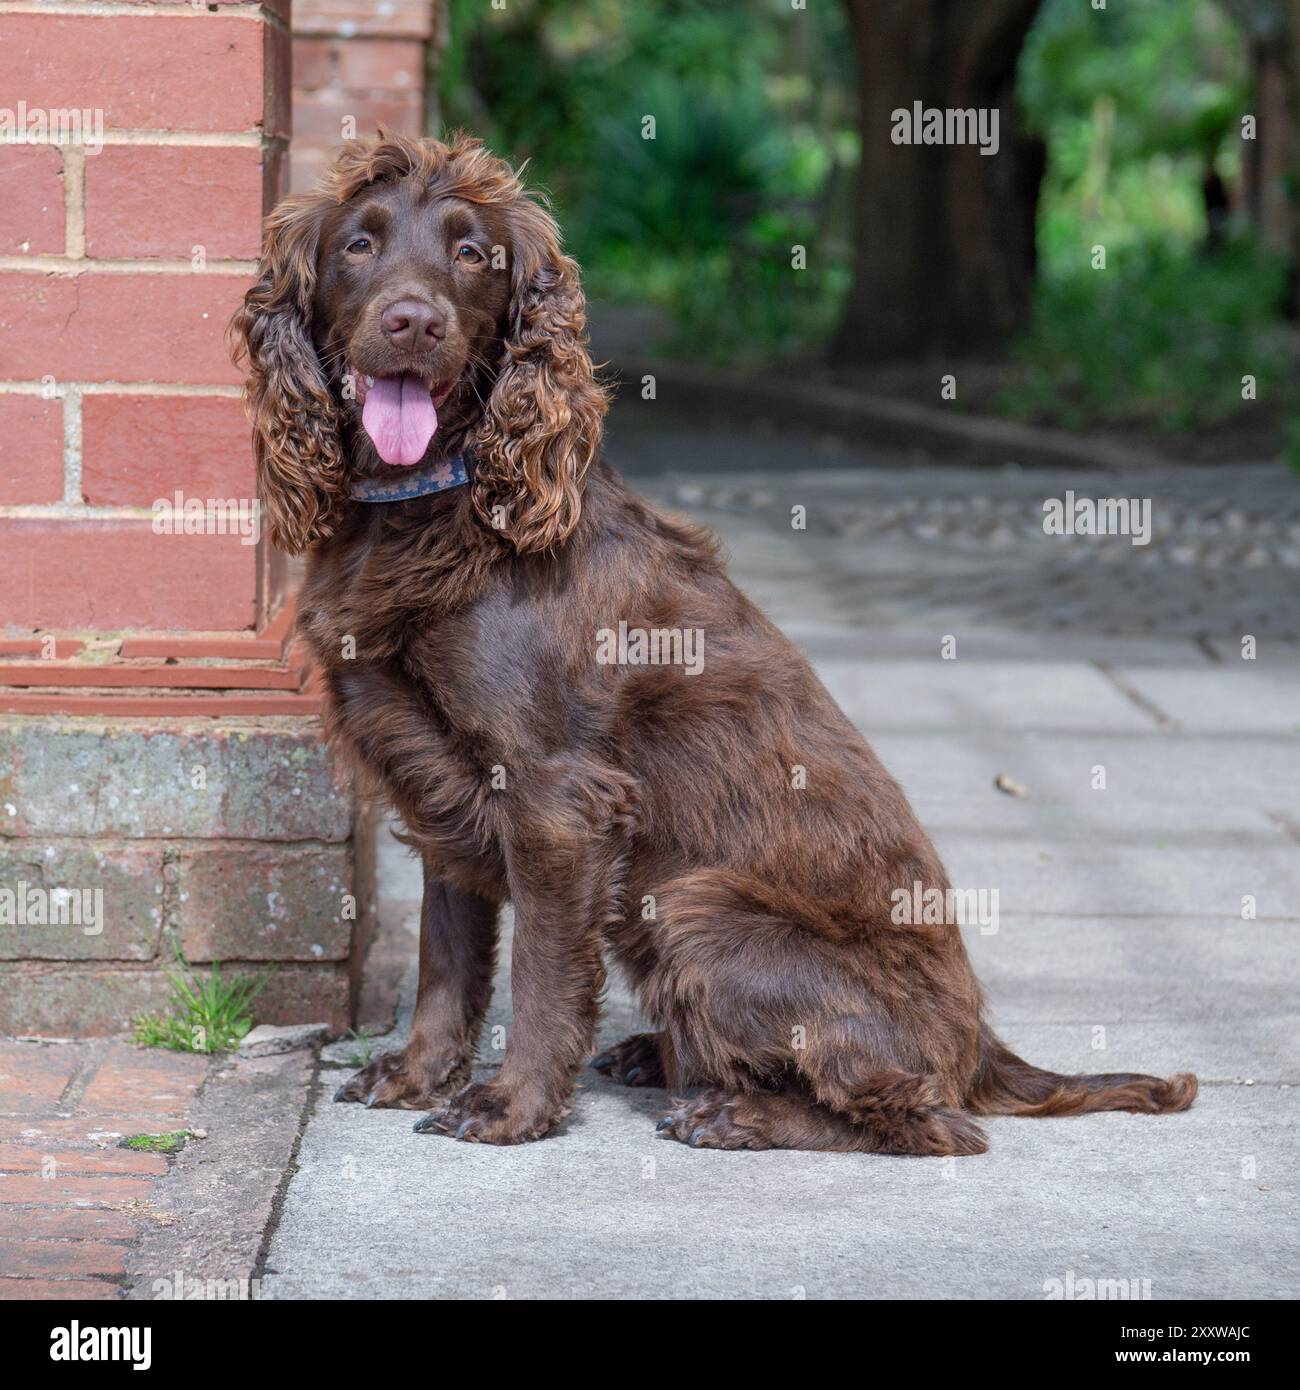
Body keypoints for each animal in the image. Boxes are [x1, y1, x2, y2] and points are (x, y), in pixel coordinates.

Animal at [229, 132, 1195, 1150]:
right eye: (359, 245)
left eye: (471, 254)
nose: (412, 322)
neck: (433, 505)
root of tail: (983, 1048)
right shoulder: (441, 782)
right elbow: (445, 956)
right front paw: (417, 1075)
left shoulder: (553, 795)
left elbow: (540, 972)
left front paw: (510, 1105)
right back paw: (659, 1057)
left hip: (695, 908)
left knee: (923, 1119)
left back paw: (733, 1111)